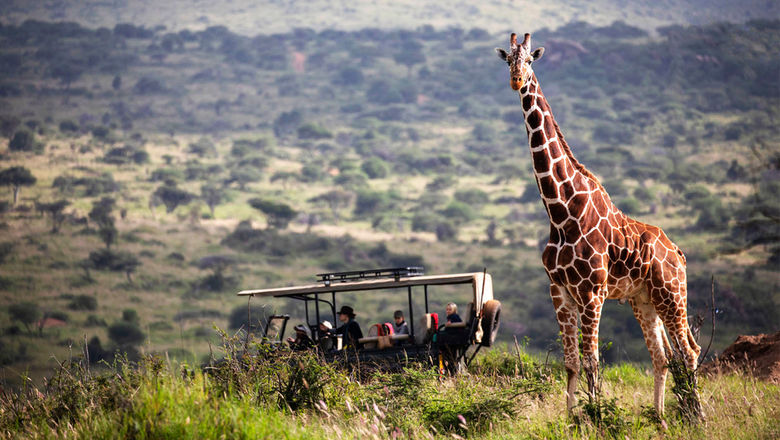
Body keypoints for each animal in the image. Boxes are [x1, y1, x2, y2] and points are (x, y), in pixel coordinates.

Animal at [496, 34, 704, 416]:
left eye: (530, 60)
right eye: (508, 61)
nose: (516, 80)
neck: (561, 211)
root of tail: (678, 253)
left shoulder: (592, 292)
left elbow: (592, 360)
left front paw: (595, 418)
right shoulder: (559, 290)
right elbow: (570, 362)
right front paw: (571, 419)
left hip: (672, 294)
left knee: (689, 351)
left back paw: (697, 416)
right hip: (644, 300)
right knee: (663, 356)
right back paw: (661, 419)